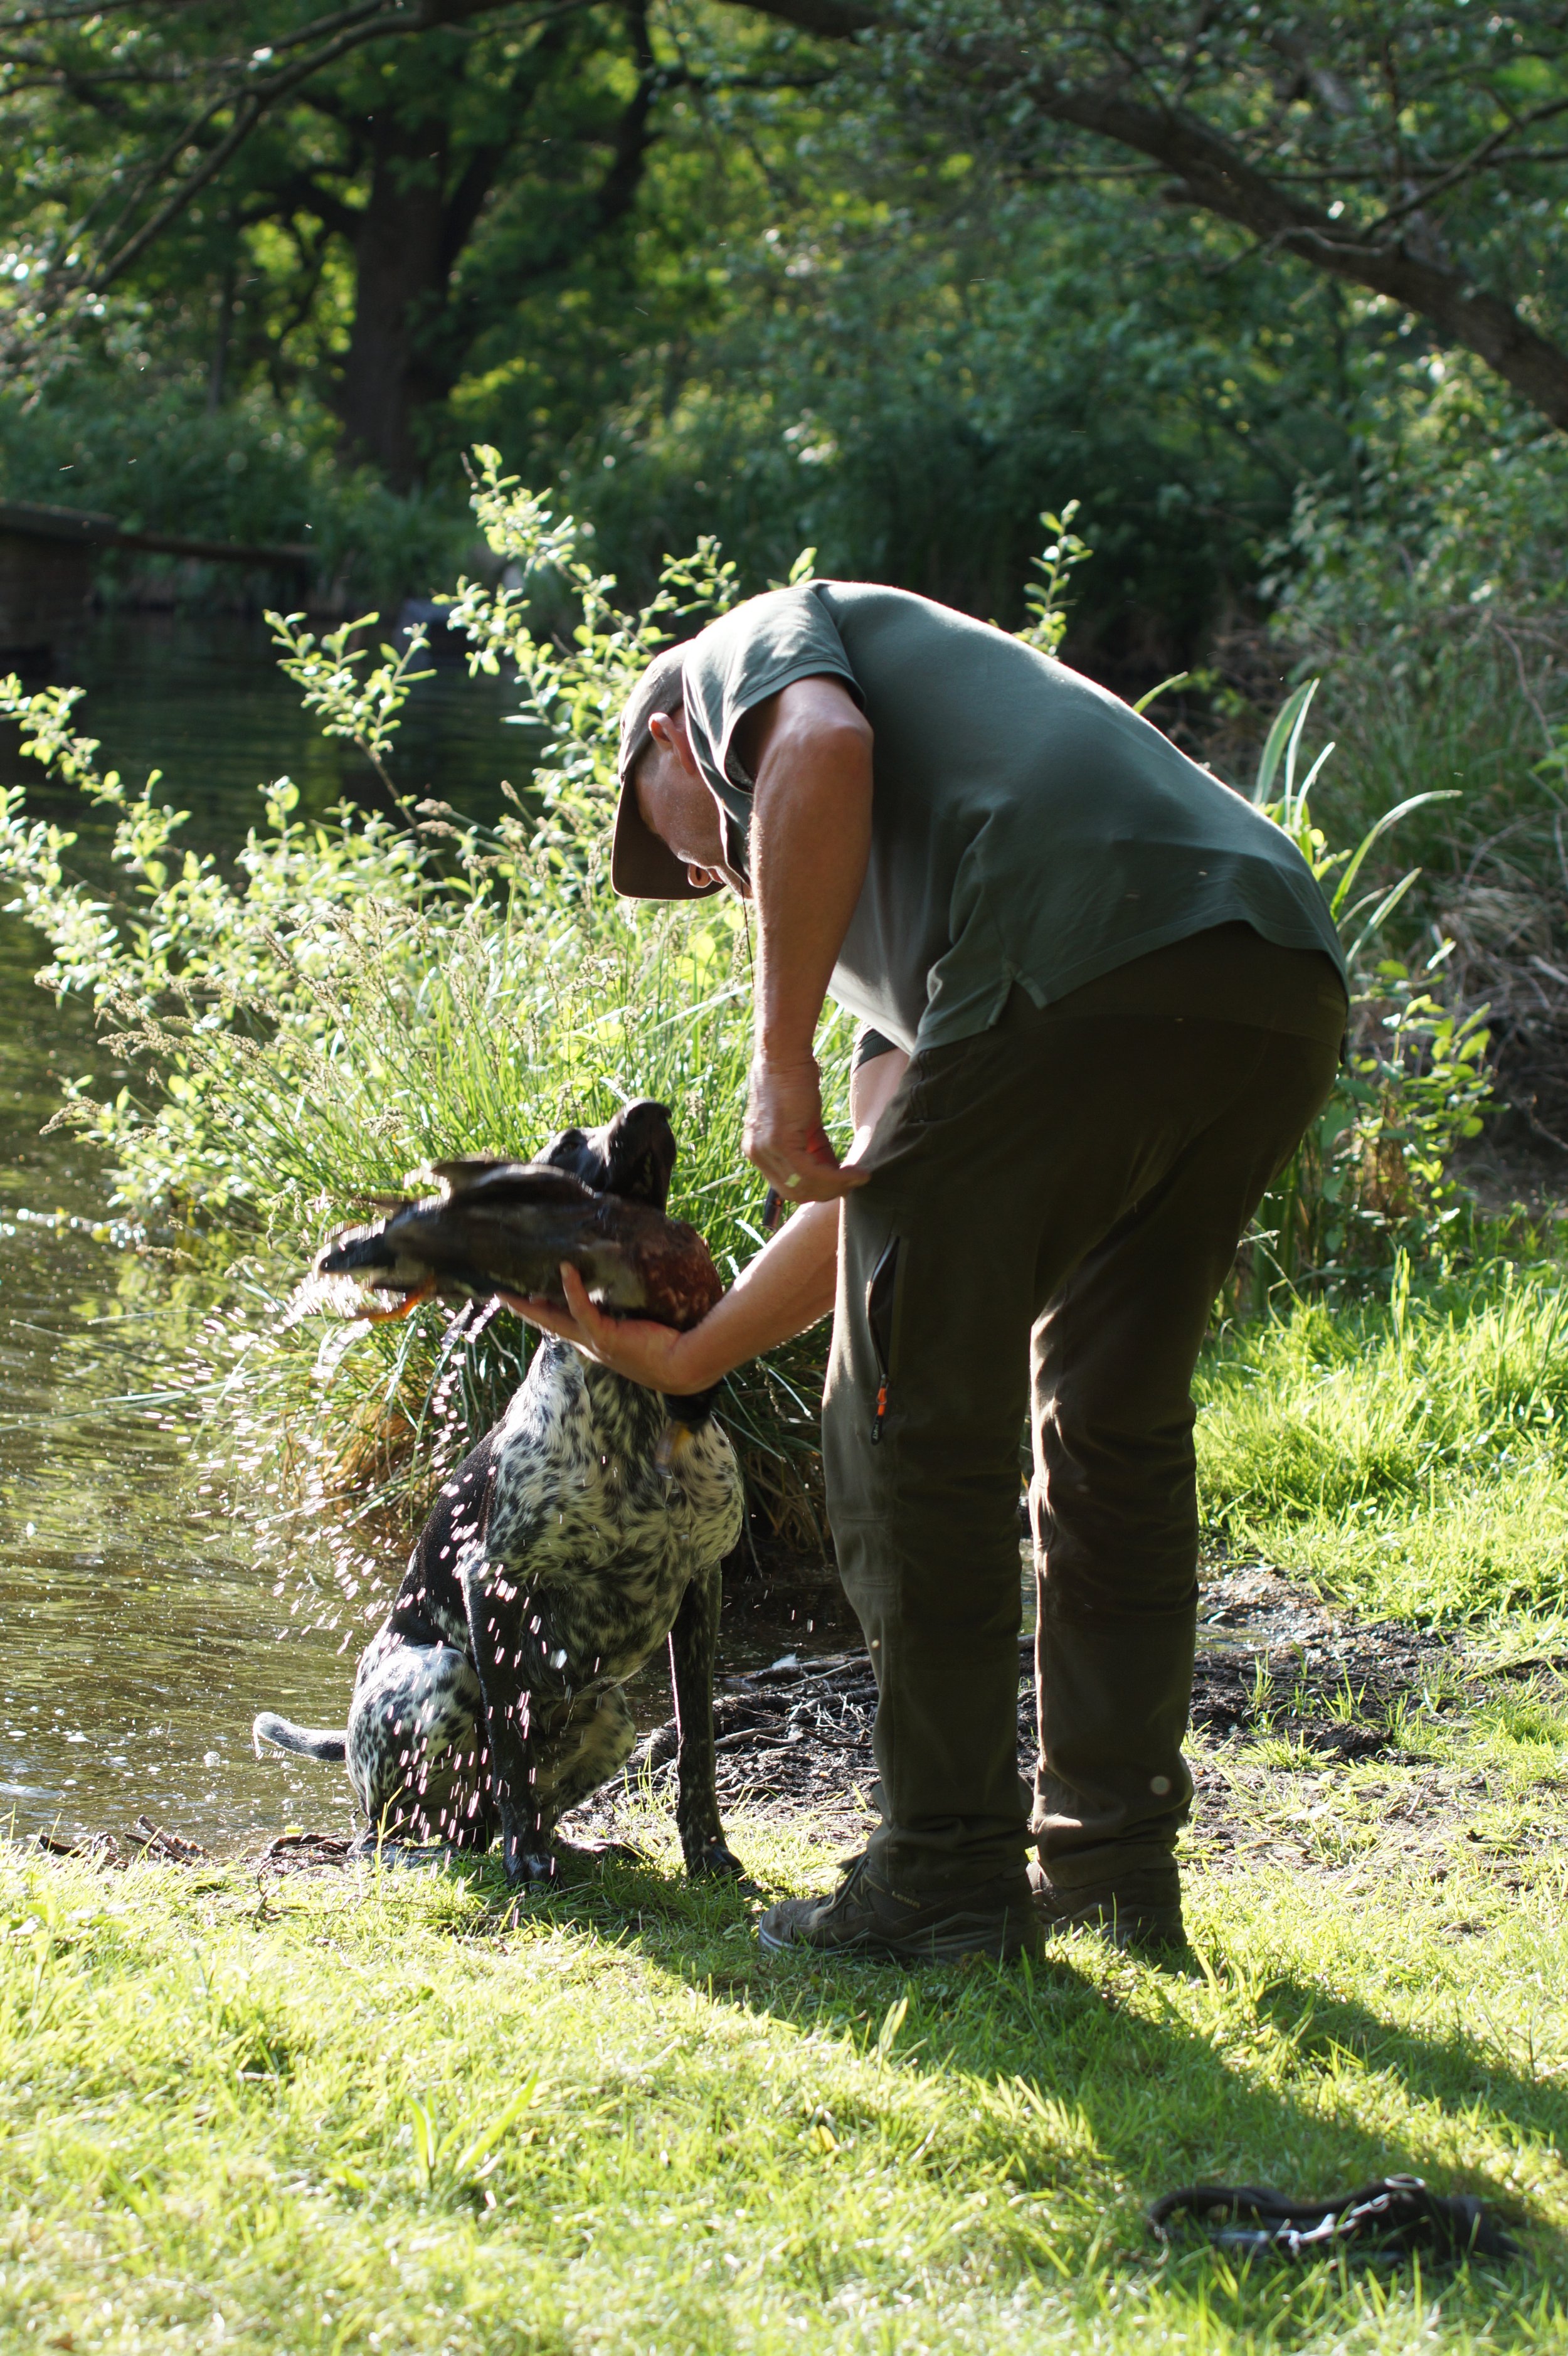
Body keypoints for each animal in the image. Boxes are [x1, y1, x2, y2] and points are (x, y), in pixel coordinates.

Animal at [254, 1101, 746, 1885]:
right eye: (567, 1147)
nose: (648, 1111)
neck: (632, 1417)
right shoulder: (495, 1580)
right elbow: (509, 1738)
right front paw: (527, 1863)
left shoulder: (703, 1582)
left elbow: (697, 1741)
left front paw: (706, 1849)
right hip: (437, 1673)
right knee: (389, 1834)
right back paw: (447, 1854)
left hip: (612, 1715)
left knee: (501, 1814)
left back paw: (574, 1847)